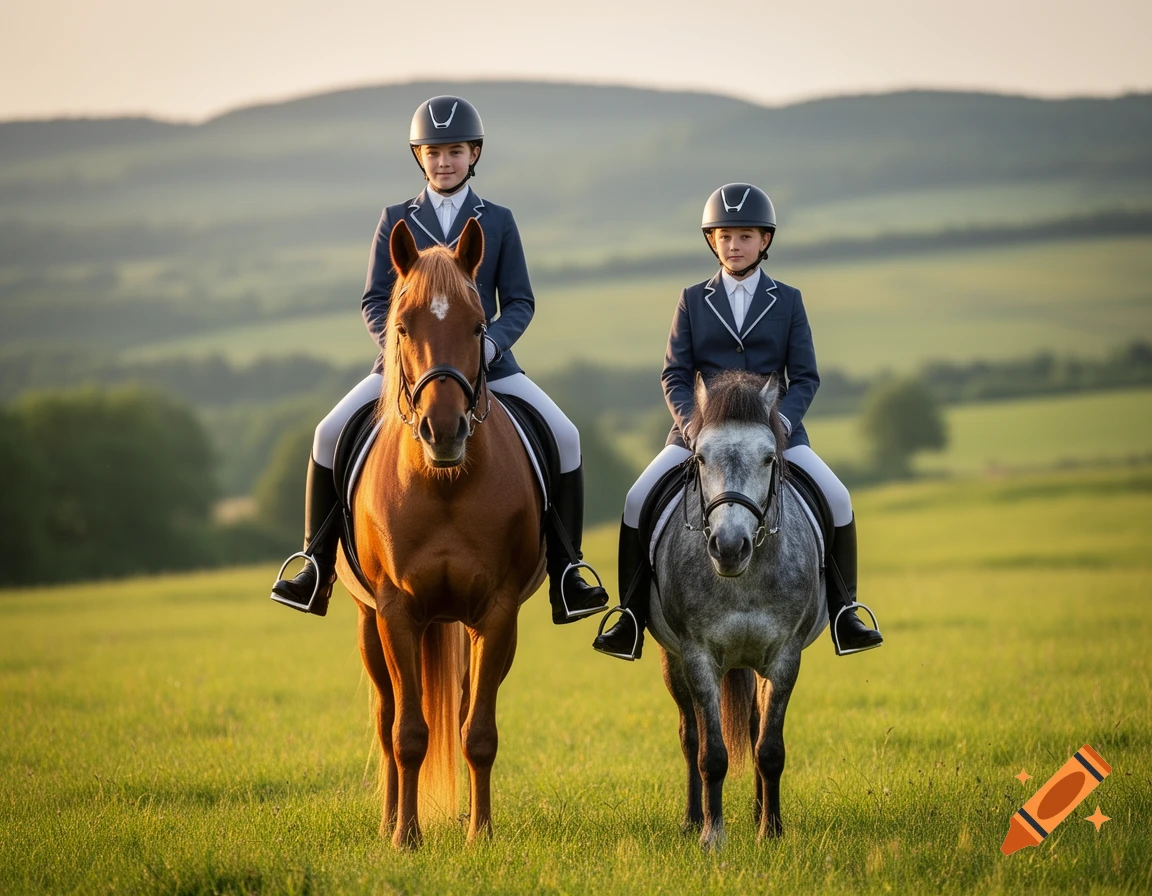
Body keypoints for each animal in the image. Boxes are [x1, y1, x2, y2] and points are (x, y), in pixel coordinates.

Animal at [335, 217, 547, 849]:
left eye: (479, 326)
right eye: (403, 326)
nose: (444, 430)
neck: (445, 482)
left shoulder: (498, 613)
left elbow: (477, 732)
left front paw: (481, 834)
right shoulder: (395, 611)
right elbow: (407, 734)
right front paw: (406, 838)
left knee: (460, 711)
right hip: (368, 624)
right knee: (386, 720)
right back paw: (388, 820)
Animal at [649, 369, 828, 850]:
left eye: (768, 458)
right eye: (700, 457)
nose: (729, 547)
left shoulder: (785, 657)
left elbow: (769, 748)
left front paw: (772, 830)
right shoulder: (698, 657)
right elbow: (711, 753)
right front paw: (712, 835)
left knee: (753, 725)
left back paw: (757, 813)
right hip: (673, 661)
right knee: (690, 735)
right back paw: (693, 819)